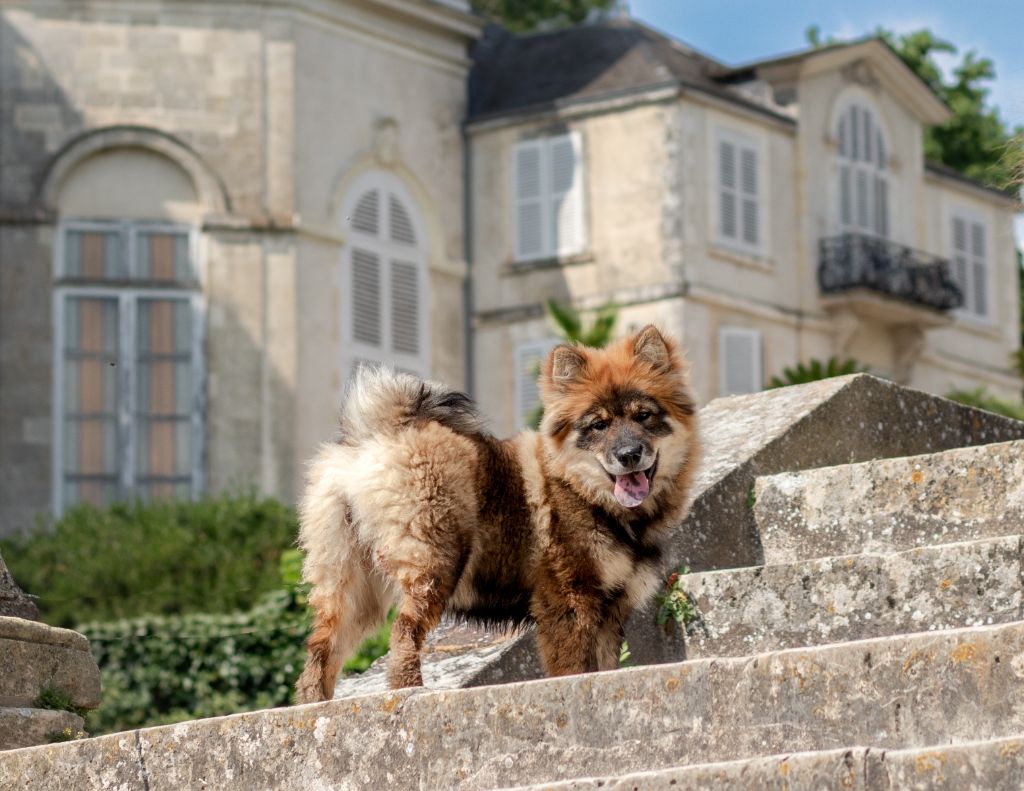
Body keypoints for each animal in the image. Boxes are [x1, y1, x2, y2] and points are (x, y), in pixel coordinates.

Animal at [292, 323, 700, 700]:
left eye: (644, 416)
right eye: (599, 425)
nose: (629, 454)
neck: (588, 494)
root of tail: (375, 437)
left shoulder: (611, 609)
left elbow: (605, 666)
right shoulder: (571, 603)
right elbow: (578, 667)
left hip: (353, 586)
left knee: (321, 648)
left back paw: (314, 706)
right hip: (435, 563)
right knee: (403, 631)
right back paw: (410, 691)